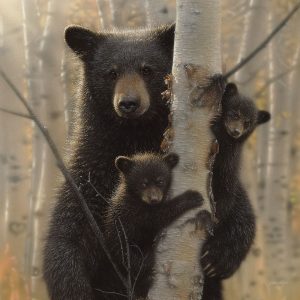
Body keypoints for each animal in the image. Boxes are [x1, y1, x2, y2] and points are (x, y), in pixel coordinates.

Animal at [97, 154, 203, 298]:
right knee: (135, 262)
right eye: (143, 183)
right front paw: (191, 197)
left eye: (160, 181)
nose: (154, 199)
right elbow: (157, 217)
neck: (136, 198)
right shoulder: (133, 211)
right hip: (123, 248)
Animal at [200, 82, 270, 300]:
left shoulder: (229, 165)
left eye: (248, 122)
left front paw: (215, 218)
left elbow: (225, 192)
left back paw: (215, 261)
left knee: (242, 229)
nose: (236, 132)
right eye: (234, 113)